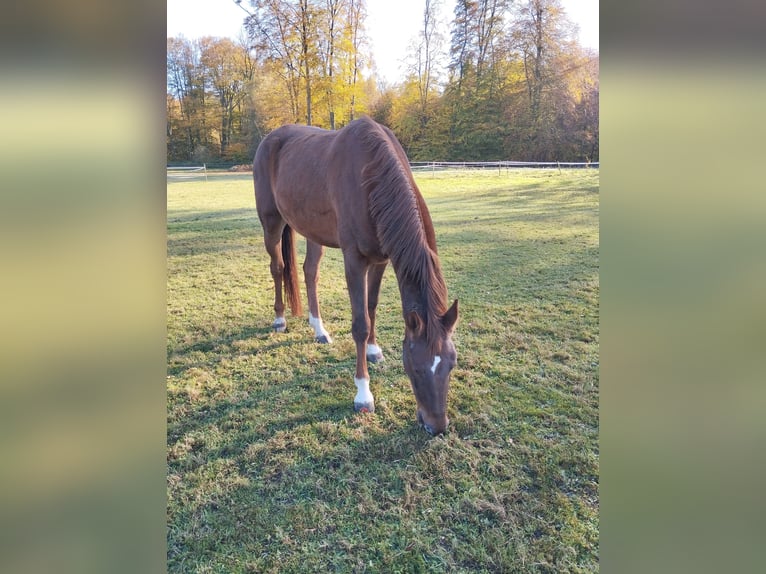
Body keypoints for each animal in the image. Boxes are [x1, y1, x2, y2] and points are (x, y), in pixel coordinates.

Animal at [252, 115, 460, 434]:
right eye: (414, 367)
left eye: (451, 363)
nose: (436, 426)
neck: (370, 176)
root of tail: (270, 140)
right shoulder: (354, 260)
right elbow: (360, 323)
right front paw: (363, 394)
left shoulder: (381, 259)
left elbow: (371, 307)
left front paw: (374, 351)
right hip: (271, 222)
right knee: (277, 268)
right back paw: (279, 319)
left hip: (312, 229)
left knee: (310, 273)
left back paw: (319, 329)